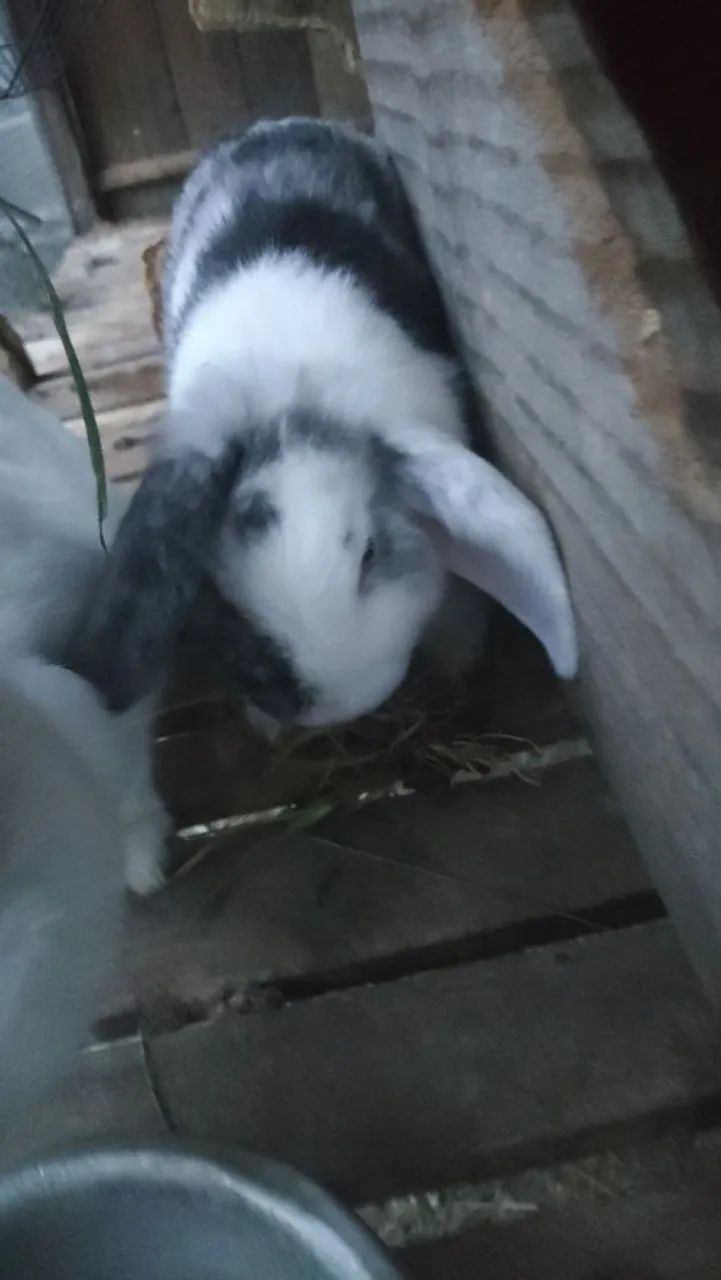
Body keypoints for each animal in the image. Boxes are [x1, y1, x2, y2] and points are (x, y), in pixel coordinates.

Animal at [68, 118, 577, 745]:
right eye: (218, 588)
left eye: (369, 553)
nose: (336, 705)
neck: (293, 397)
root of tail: (274, 126)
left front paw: (459, 665)